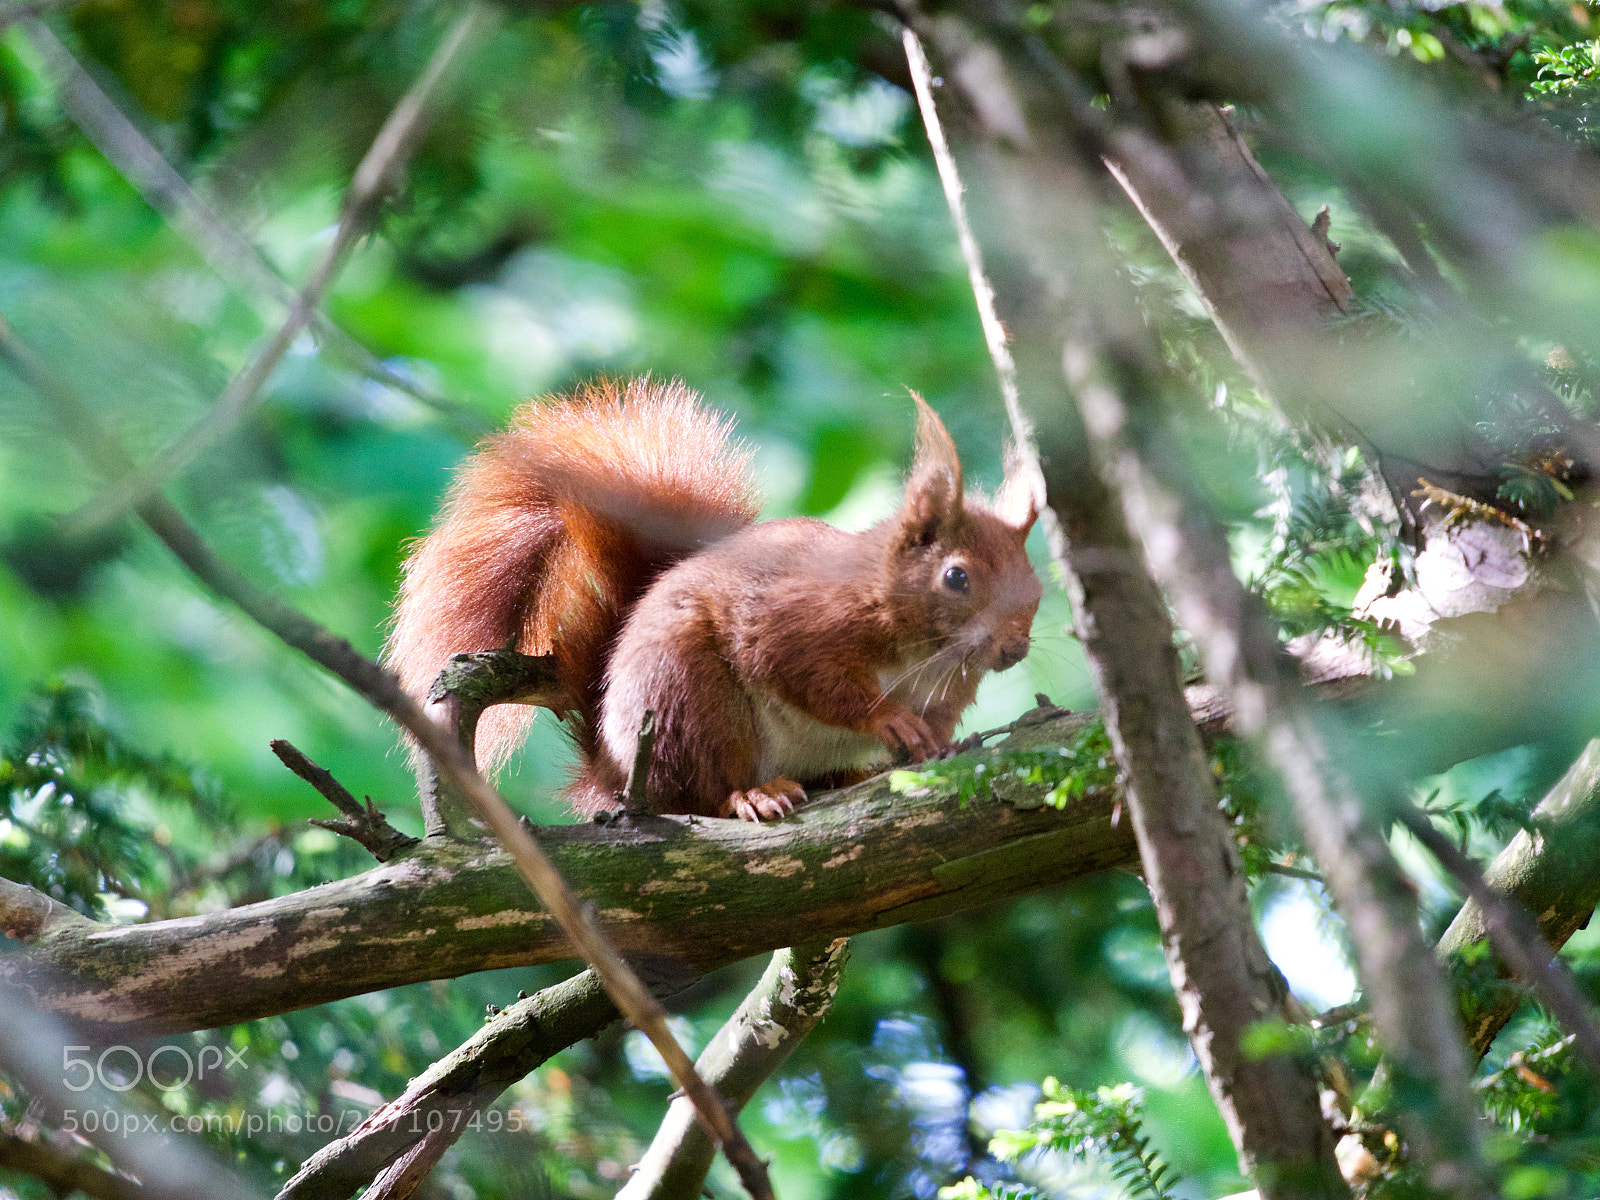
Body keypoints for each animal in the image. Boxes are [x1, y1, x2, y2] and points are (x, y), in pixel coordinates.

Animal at [386, 377, 1041, 822]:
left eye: (1035, 588)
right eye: (956, 578)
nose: (1015, 647)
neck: (923, 651)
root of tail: (615, 769)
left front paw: (937, 744)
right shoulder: (795, 622)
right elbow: (809, 676)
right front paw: (887, 718)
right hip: (689, 699)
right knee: (704, 791)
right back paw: (753, 793)